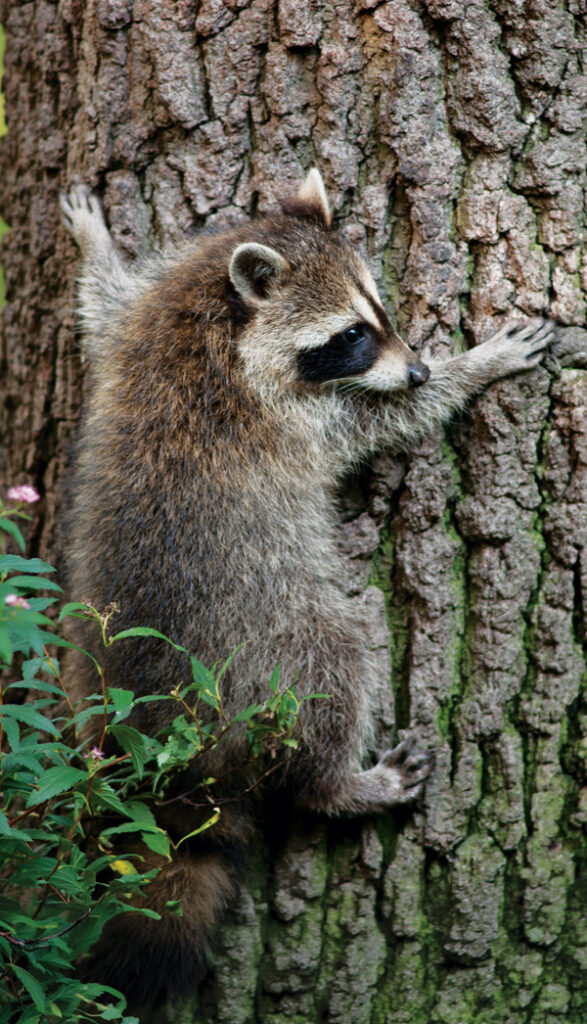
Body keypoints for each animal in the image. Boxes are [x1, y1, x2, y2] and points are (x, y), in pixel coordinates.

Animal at [60, 169, 554, 1013]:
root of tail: (166, 745)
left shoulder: (139, 322)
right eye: (349, 336)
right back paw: (342, 784)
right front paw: (473, 366)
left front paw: (95, 245)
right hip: (272, 652)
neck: (214, 308)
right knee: (335, 661)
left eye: (378, 312)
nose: (418, 366)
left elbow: (102, 308)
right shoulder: (290, 415)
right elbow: (387, 421)